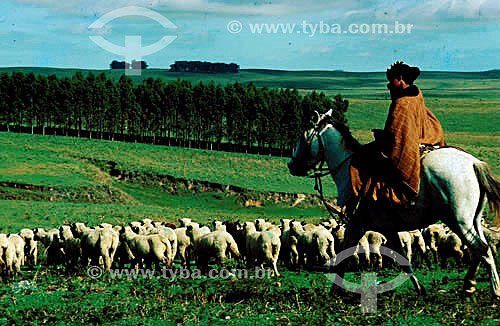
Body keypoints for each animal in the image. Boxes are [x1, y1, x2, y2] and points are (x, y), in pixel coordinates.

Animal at [288, 109, 500, 298]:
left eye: (303, 138)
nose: (292, 165)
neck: (349, 169)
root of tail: (473, 163)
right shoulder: (388, 228)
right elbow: (403, 259)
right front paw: (420, 289)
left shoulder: (356, 224)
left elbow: (344, 255)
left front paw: (334, 291)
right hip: (473, 220)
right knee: (480, 250)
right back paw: (469, 287)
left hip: (458, 221)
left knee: (481, 249)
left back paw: (494, 291)